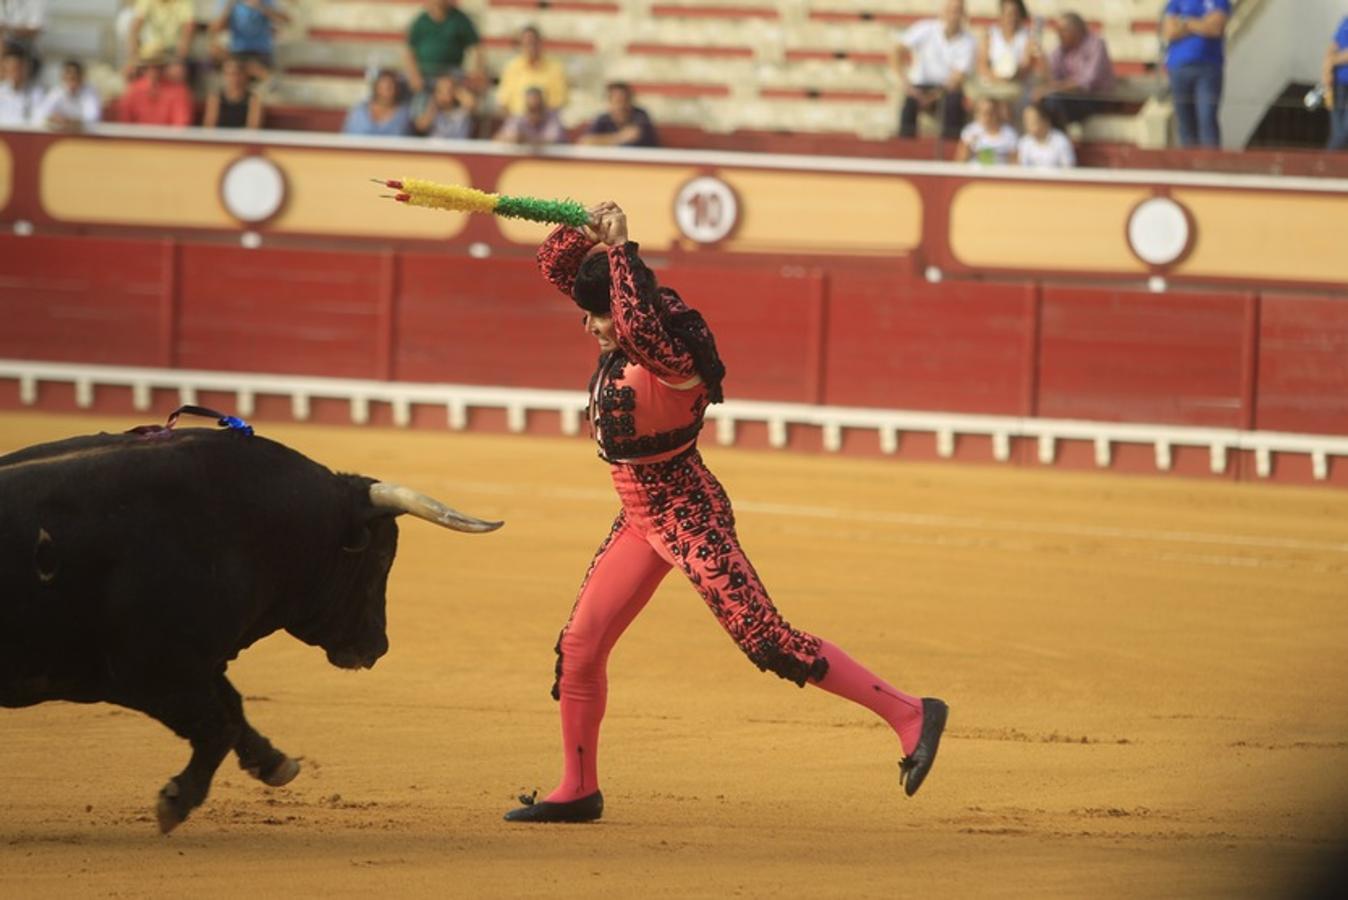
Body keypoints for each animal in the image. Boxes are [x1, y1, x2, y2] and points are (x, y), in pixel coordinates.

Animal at [0, 425, 501, 835]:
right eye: (378, 560)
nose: (377, 646)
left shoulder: (196, 663)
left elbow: (233, 707)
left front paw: (275, 764)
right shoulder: (152, 672)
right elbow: (219, 722)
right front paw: (175, 802)